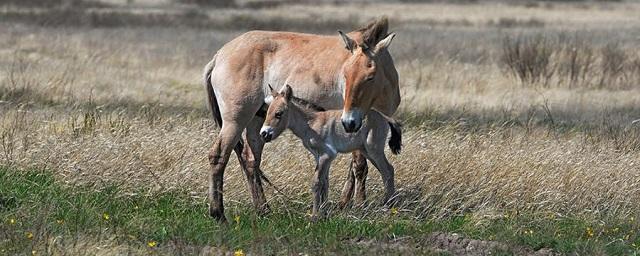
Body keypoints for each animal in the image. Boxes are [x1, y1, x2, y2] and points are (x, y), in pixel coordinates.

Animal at [258, 84, 400, 220]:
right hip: (366, 151)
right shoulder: (319, 156)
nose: (264, 134)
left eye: (279, 113)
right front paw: (324, 214)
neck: (311, 122)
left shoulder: (327, 154)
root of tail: (385, 117)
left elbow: (316, 182)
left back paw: (389, 206)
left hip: (374, 150)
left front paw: (315, 217)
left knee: (387, 171)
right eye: (267, 112)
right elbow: (325, 183)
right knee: (387, 171)